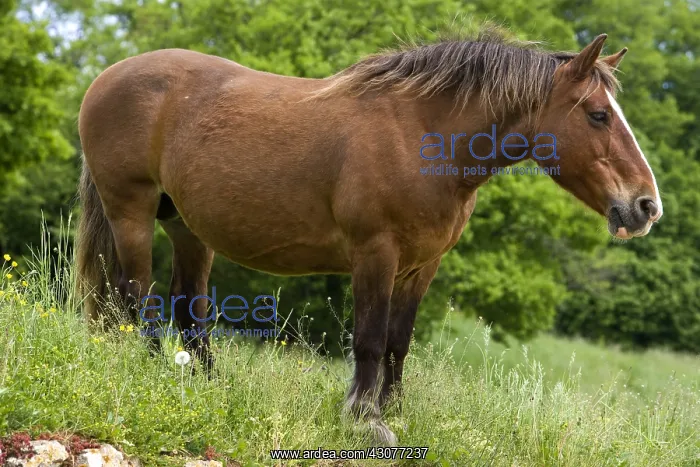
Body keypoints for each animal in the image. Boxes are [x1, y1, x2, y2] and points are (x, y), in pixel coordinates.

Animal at [75, 30, 662, 445]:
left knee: (188, 308)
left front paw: (396, 409)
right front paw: (365, 418)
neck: (422, 135)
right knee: (138, 297)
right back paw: (155, 375)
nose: (646, 206)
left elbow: (399, 342)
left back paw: (207, 387)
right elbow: (371, 339)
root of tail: (107, 77)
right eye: (598, 115)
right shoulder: (375, 253)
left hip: (188, 227)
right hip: (131, 210)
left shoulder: (421, 266)